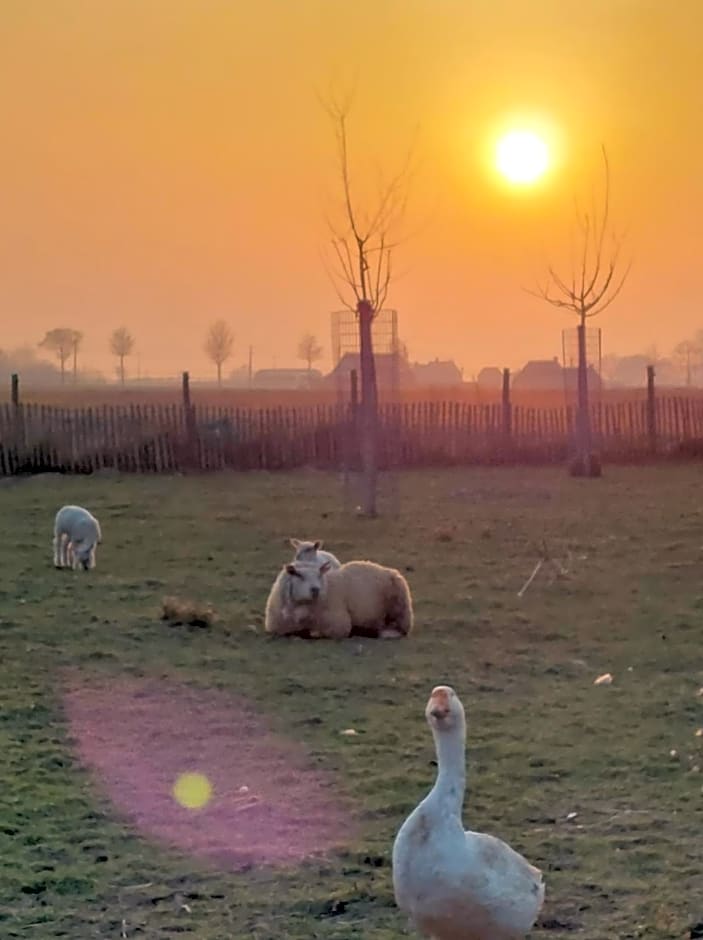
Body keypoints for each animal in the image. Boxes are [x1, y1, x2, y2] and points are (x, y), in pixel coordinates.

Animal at [266, 560, 416, 640]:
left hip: (399, 607)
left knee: (400, 628)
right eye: (299, 575)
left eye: (319, 575)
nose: (315, 589)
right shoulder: (277, 628)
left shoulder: (338, 624)